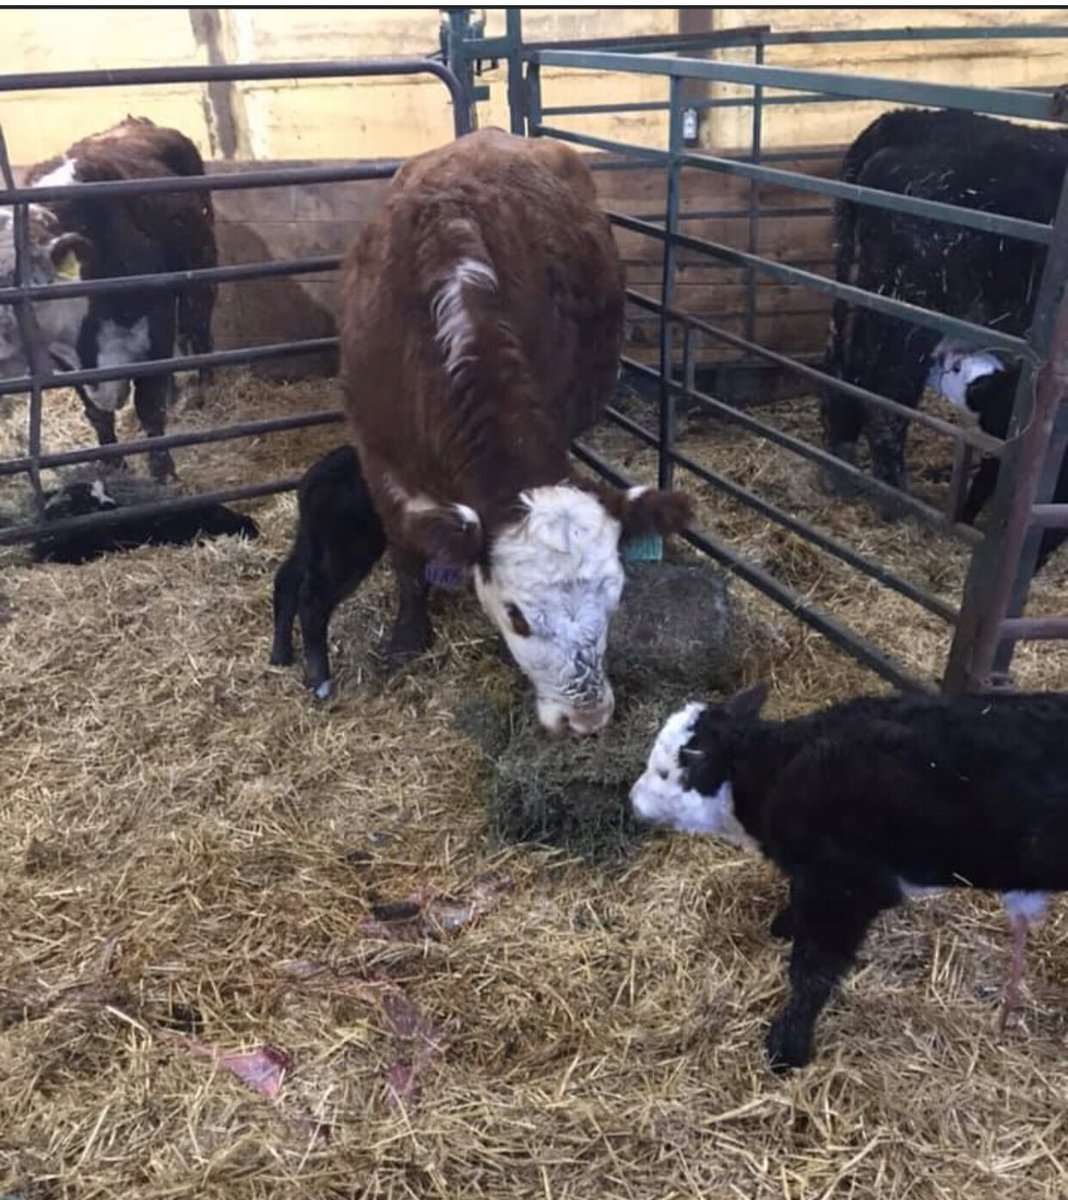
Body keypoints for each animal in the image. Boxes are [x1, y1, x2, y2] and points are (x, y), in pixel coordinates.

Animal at [16, 116, 218, 481]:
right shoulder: (66, 363)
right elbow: (97, 413)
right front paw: (113, 465)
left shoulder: (157, 322)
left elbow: (149, 407)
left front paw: (163, 473)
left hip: (201, 276)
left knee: (199, 330)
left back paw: (204, 386)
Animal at [338, 128, 691, 737]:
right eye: (517, 617)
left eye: (615, 600)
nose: (586, 719)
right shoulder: (377, 452)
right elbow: (404, 551)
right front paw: (408, 637)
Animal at [631, 684, 1068, 1071]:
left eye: (665, 771)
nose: (633, 801)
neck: (775, 774)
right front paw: (784, 924)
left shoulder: (844, 889)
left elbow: (812, 972)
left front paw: (787, 1047)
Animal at [821, 107, 1068, 508]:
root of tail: (901, 121)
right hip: (911, 308)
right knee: (886, 394)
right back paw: (896, 499)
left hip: (857, 287)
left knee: (842, 371)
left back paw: (838, 468)